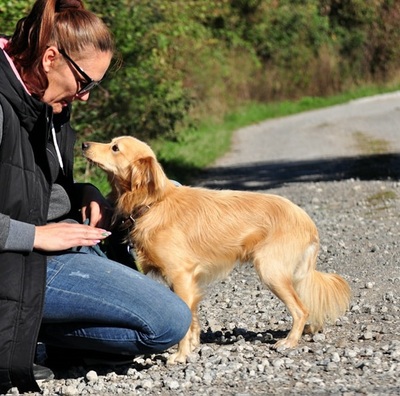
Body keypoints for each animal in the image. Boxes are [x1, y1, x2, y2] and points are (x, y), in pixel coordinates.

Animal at [81, 137, 350, 366]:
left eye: (115, 148)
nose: (84, 144)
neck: (154, 203)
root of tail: (307, 221)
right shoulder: (185, 282)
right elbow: (191, 320)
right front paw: (191, 347)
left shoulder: (181, 276)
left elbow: (186, 320)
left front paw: (180, 355)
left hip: (270, 271)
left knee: (301, 309)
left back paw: (290, 341)